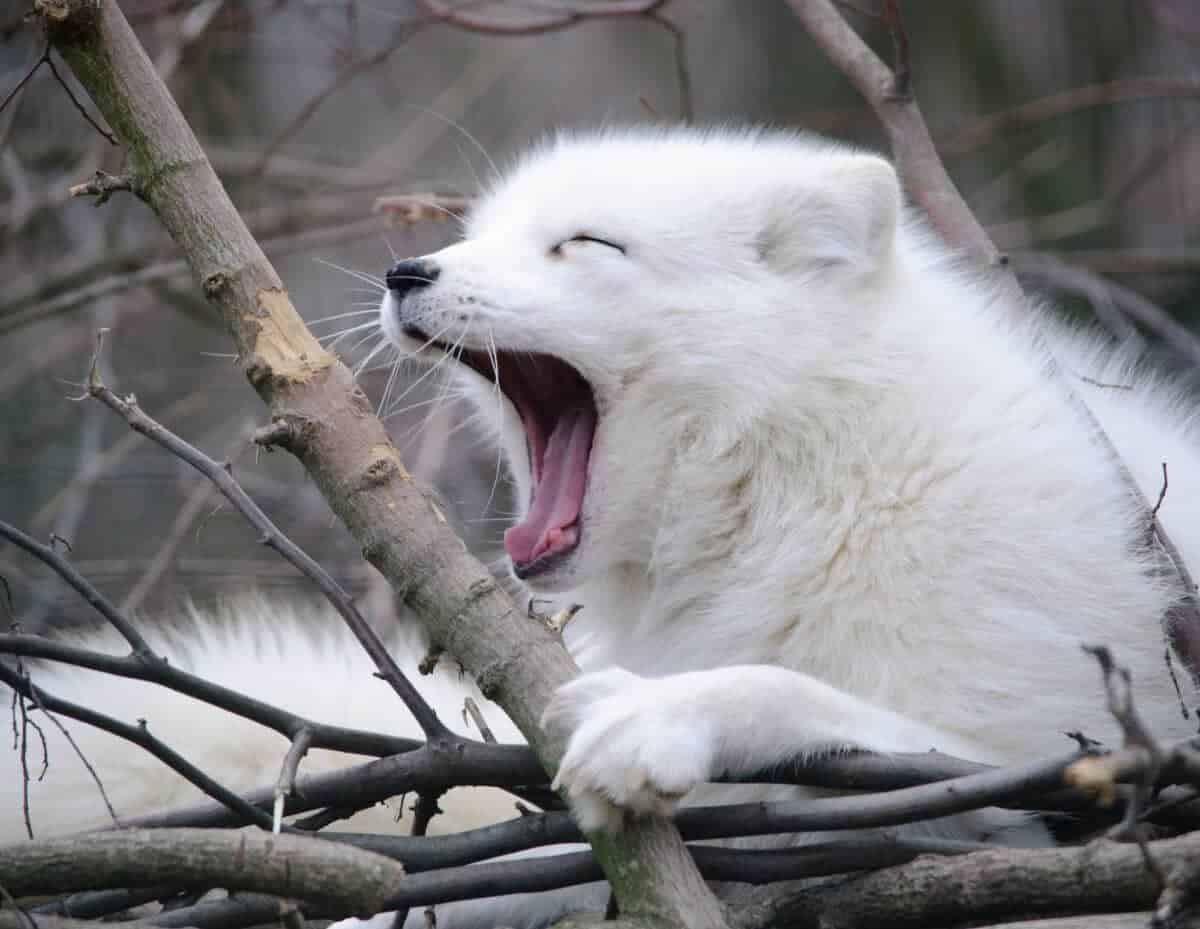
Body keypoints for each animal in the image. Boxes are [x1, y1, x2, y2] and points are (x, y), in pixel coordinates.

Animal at [5, 127, 1200, 927]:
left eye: (584, 244)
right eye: (482, 233)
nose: (407, 270)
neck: (803, 471)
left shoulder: (1055, 783)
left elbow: (824, 704)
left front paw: (663, 714)